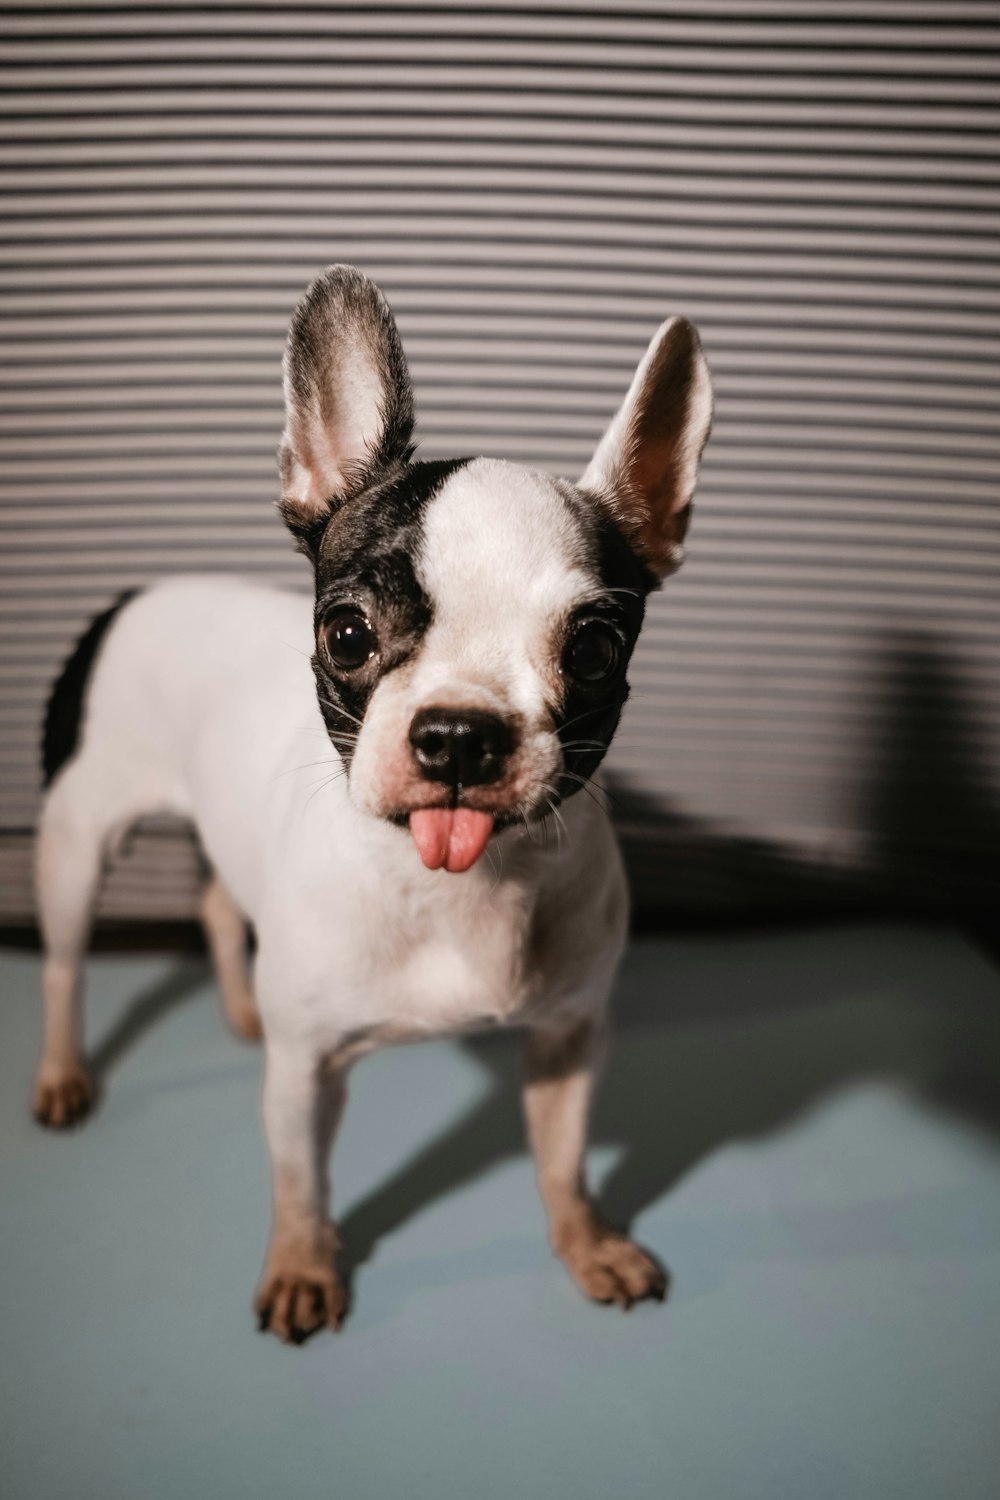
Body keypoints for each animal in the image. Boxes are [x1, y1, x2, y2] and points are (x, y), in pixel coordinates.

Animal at [31, 264, 716, 1344]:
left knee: (218, 900)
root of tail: (133, 595)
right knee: (63, 965)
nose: (460, 732)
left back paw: (238, 1005)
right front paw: (304, 1267)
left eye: (596, 650)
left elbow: (563, 1159)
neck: (457, 886)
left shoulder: (569, 1037)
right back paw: (63, 1073)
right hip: (75, 841)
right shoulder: (306, 1073)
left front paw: (586, 1242)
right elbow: (301, 1180)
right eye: (348, 633)